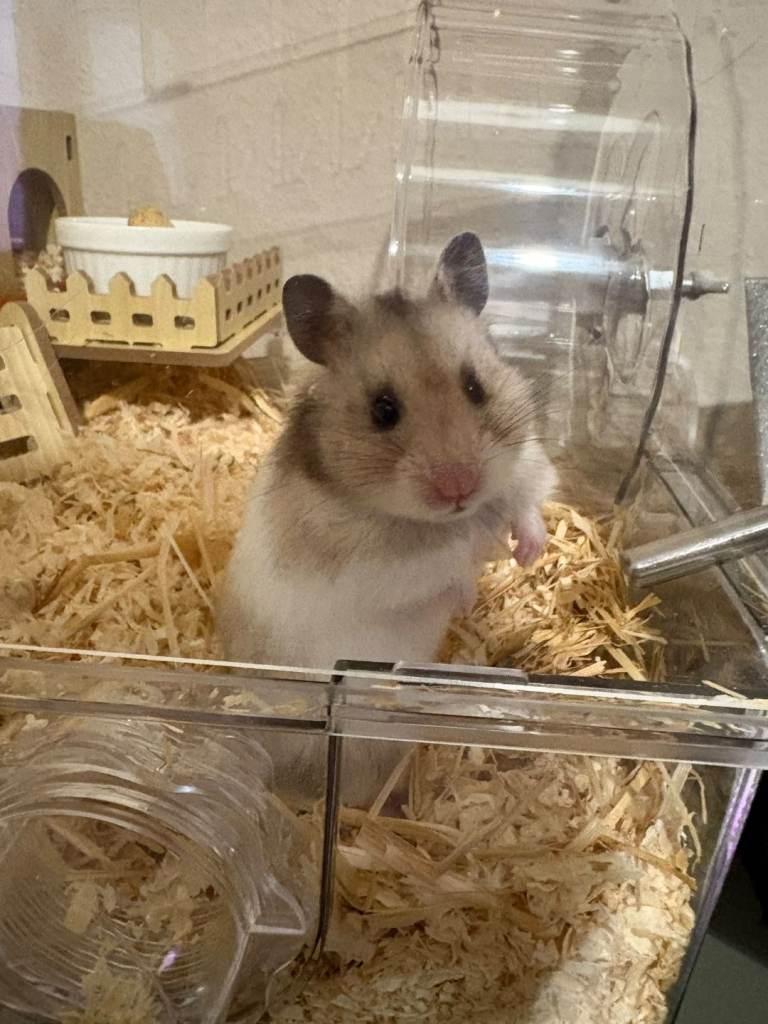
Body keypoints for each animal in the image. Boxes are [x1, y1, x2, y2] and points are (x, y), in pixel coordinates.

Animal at [218, 232, 556, 804]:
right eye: (383, 410)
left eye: (475, 387)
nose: (460, 487)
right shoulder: (377, 570)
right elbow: (447, 562)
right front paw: (475, 574)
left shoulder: (526, 464)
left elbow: (528, 503)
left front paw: (528, 552)